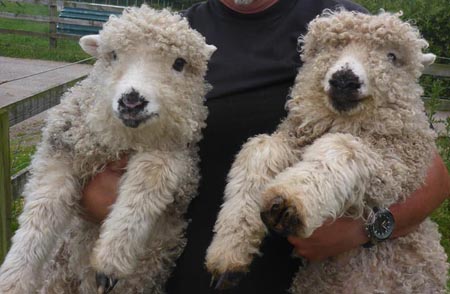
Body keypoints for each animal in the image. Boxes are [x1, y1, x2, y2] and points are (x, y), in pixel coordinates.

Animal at [0, 5, 216, 294]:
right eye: (112, 55)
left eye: (179, 63)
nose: (132, 101)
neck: (123, 140)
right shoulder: (61, 152)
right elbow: (40, 214)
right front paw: (14, 279)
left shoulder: (172, 155)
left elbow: (144, 191)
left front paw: (110, 259)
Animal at [206, 10, 448, 292]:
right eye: (328, 48)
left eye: (392, 56)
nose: (345, 79)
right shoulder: (295, 140)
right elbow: (260, 150)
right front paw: (229, 250)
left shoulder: (396, 170)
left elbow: (341, 148)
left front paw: (289, 202)